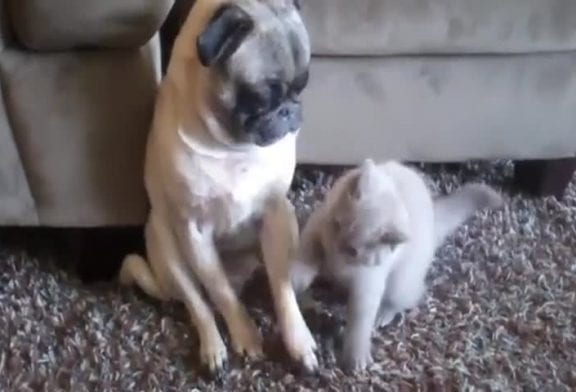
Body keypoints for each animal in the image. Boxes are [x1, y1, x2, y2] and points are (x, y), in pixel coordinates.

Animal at [117, 0, 316, 376]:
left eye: (302, 87)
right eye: (260, 97)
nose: (290, 110)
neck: (233, 148)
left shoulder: (277, 215)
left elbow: (282, 290)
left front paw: (297, 341)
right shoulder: (194, 230)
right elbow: (222, 294)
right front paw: (246, 336)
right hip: (167, 247)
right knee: (201, 304)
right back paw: (213, 349)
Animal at [292, 158, 504, 370]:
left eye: (353, 250)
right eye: (336, 224)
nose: (333, 249)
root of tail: (434, 220)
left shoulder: (369, 280)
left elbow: (361, 319)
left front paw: (356, 356)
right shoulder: (317, 225)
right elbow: (308, 253)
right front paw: (297, 281)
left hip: (401, 282)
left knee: (410, 296)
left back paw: (383, 314)